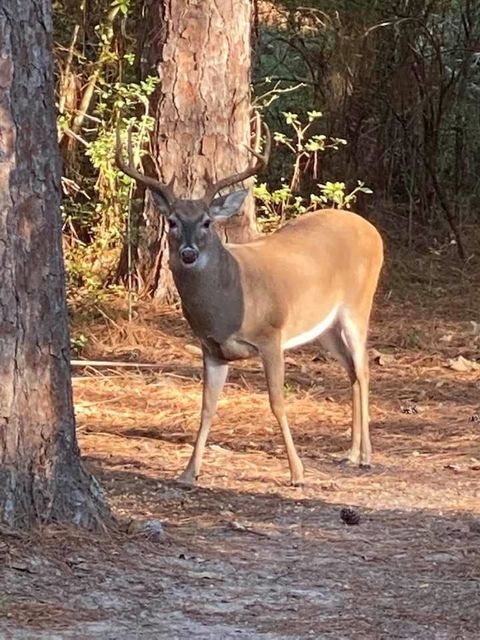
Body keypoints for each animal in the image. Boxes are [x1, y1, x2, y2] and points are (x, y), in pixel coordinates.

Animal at [116, 121, 382, 484]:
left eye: (207, 222)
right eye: (172, 221)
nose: (188, 254)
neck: (225, 305)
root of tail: (372, 230)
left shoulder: (271, 335)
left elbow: (277, 402)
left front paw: (297, 472)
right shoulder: (212, 348)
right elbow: (207, 406)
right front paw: (188, 472)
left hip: (358, 303)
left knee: (364, 367)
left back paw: (366, 456)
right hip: (325, 326)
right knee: (352, 370)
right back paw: (351, 454)